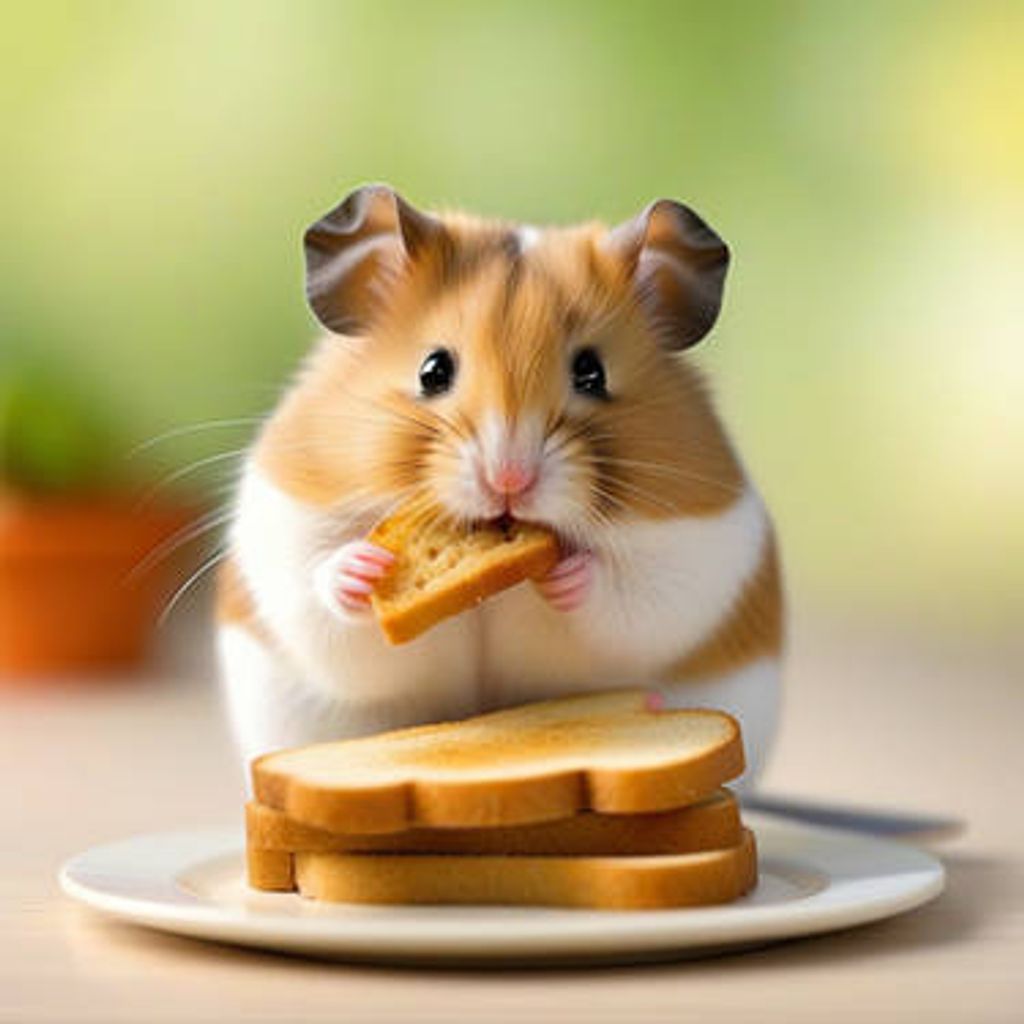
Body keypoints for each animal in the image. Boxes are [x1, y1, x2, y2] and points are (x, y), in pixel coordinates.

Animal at [217, 184, 784, 789]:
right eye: (433, 370)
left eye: (592, 373)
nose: (508, 479)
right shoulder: (289, 528)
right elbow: (326, 600)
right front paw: (363, 568)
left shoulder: (696, 551)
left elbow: (627, 594)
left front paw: (565, 571)